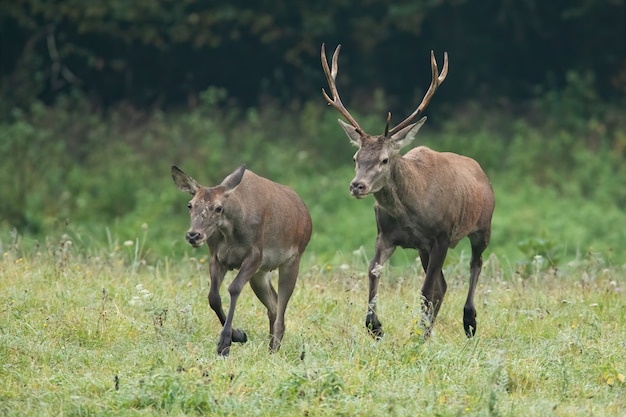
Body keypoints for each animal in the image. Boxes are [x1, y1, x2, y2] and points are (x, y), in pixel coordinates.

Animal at [172, 162, 310, 354]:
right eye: (190, 205)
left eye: (219, 208)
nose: (193, 235)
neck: (230, 233)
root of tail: (306, 214)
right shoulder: (216, 257)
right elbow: (213, 297)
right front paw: (238, 335)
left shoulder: (255, 255)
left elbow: (234, 288)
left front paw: (225, 342)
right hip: (260, 274)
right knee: (273, 305)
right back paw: (269, 347)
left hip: (293, 259)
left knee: (281, 308)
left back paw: (274, 350)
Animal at [322, 43, 492, 338]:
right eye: (356, 157)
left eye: (384, 160)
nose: (357, 185)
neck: (412, 212)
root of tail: (480, 170)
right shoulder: (386, 235)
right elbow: (373, 271)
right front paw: (375, 325)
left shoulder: (442, 235)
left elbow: (425, 289)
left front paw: (418, 332)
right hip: (424, 248)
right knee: (443, 285)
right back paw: (430, 327)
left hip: (483, 227)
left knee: (475, 265)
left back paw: (468, 321)